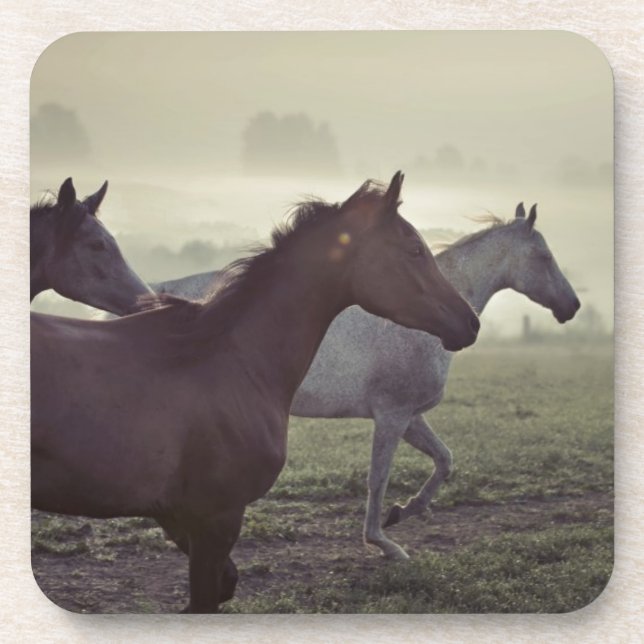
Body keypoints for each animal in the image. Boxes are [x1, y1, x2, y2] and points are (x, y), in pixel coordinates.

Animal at [145, 201, 581, 560]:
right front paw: (384, 543)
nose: (572, 306)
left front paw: (404, 512)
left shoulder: (410, 417)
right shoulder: (392, 416)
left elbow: (444, 460)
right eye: (543, 256)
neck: (419, 321)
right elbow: (378, 478)